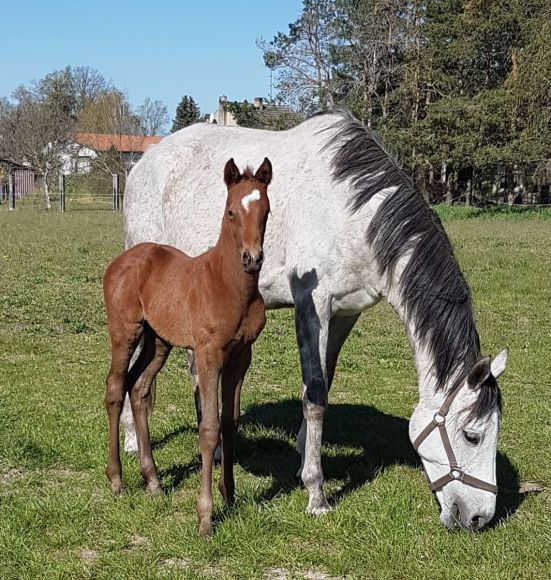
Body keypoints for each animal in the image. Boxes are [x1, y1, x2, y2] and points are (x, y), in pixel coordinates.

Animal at [103, 157, 272, 536]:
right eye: (230, 212)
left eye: (266, 211)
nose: (252, 258)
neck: (229, 284)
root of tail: (122, 260)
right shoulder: (208, 354)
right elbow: (208, 429)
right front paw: (206, 517)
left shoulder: (241, 356)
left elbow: (230, 422)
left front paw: (229, 495)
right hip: (125, 332)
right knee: (115, 388)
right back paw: (117, 480)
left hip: (159, 341)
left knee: (139, 388)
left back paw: (152, 481)